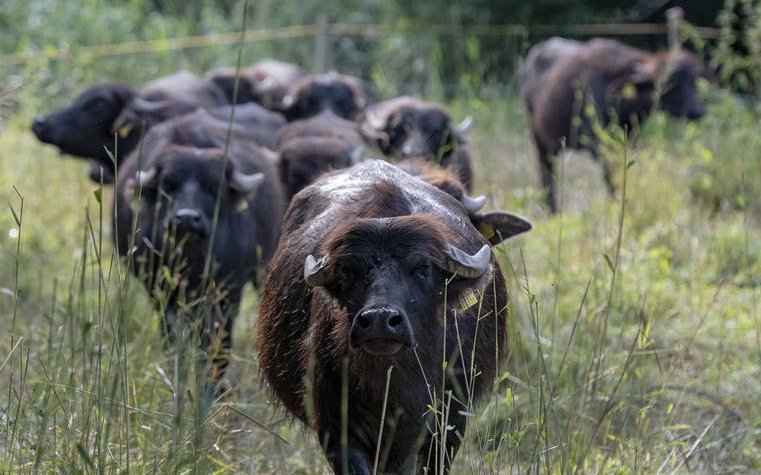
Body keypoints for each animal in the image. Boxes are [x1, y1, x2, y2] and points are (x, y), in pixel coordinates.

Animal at [255, 161, 528, 475]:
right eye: (348, 272)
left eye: (422, 268)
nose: (379, 320)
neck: (395, 381)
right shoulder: (335, 427)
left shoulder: (449, 422)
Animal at [524, 39, 708, 212]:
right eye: (671, 82)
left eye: (693, 81)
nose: (697, 111)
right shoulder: (596, 143)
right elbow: (610, 175)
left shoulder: (628, 140)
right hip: (540, 140)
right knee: (546, 173)